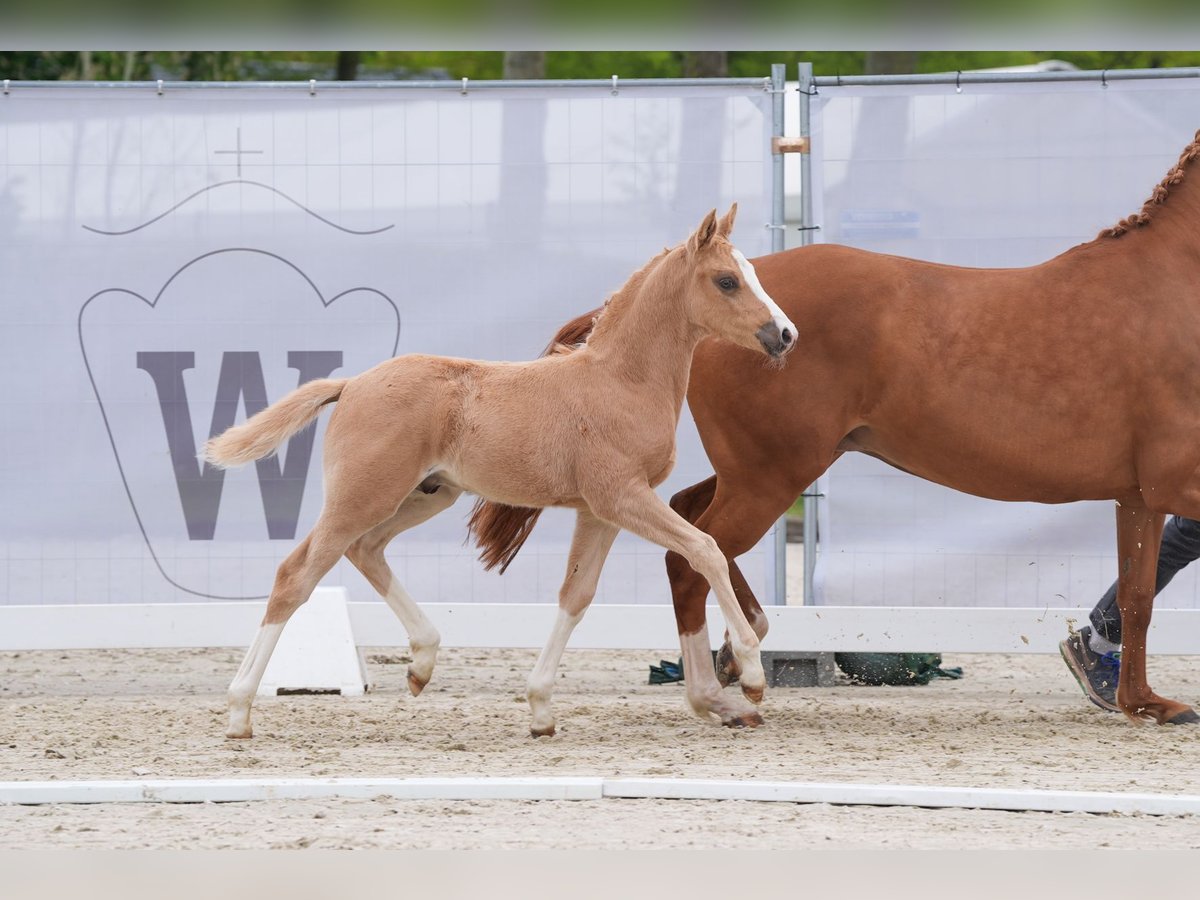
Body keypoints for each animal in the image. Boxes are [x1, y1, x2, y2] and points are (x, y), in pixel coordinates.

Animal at [204, 206, 796, 739]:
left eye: (752, 272)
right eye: (726, 280)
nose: (786, 334)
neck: (620, 381)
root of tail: (351, 384)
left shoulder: (599, 512)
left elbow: (576, 595)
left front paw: (540, 710)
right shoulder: (622, 498)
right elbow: (705, 550)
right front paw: (751, 673)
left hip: (426, 495)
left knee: (365, 550)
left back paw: (421, 664)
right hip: (363, 496)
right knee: (296, 575)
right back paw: (238, 711)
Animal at [475, 128, 1200, 734]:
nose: (780, 334)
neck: (1170, 285)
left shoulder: (1136, 493)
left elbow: (1138, 594)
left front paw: (1144, 702)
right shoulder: (1172, 481)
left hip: (759, 471)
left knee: (691, 522)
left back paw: (734, 660)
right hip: (773, 474)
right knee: (693, 554)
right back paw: (730, 681)